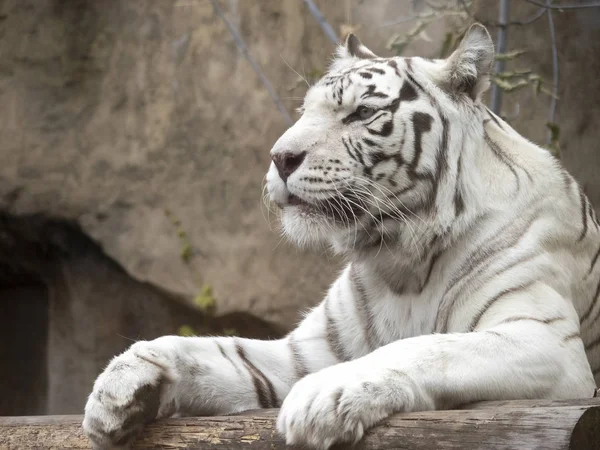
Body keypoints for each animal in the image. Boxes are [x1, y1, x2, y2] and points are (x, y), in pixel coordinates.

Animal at [82, 25, 596, 450]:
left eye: (362, 112)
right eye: (304, 110)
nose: (280, 157)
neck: (403, 260)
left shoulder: (547, 342)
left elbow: (429, 346)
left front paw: (323, 397)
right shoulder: (306, 351)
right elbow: (217, 350)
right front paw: (121, 384)